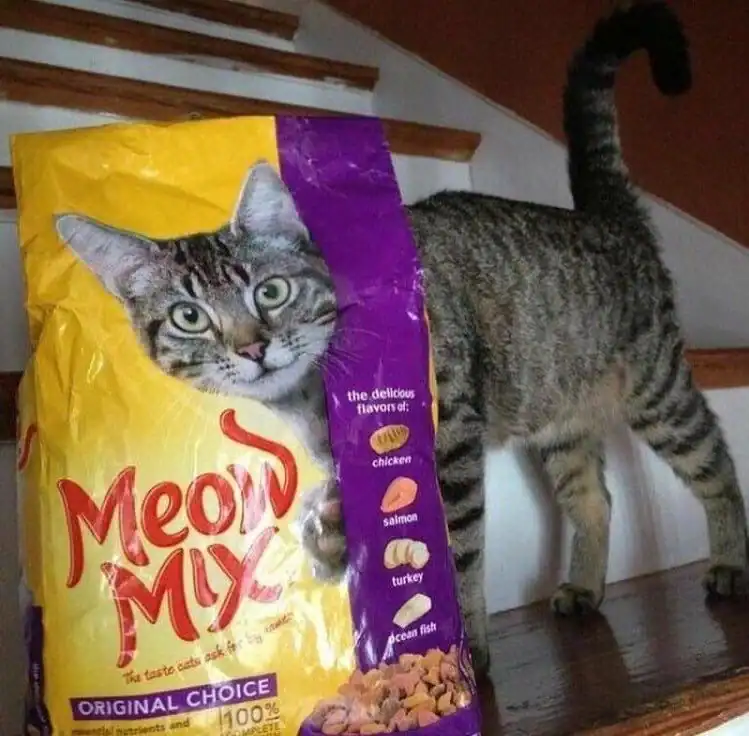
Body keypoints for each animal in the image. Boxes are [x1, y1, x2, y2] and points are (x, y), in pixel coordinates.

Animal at [55, 1, 748, 679]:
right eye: (189, 317)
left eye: (270, 292)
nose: (252, 349)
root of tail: (602, 214)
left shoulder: (451, 434)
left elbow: (458, 550)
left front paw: (461, 651)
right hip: (559, 419)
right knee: (595, 499)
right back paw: (584, 585)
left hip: (658, 392)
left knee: (716, 463)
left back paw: (731, 562)